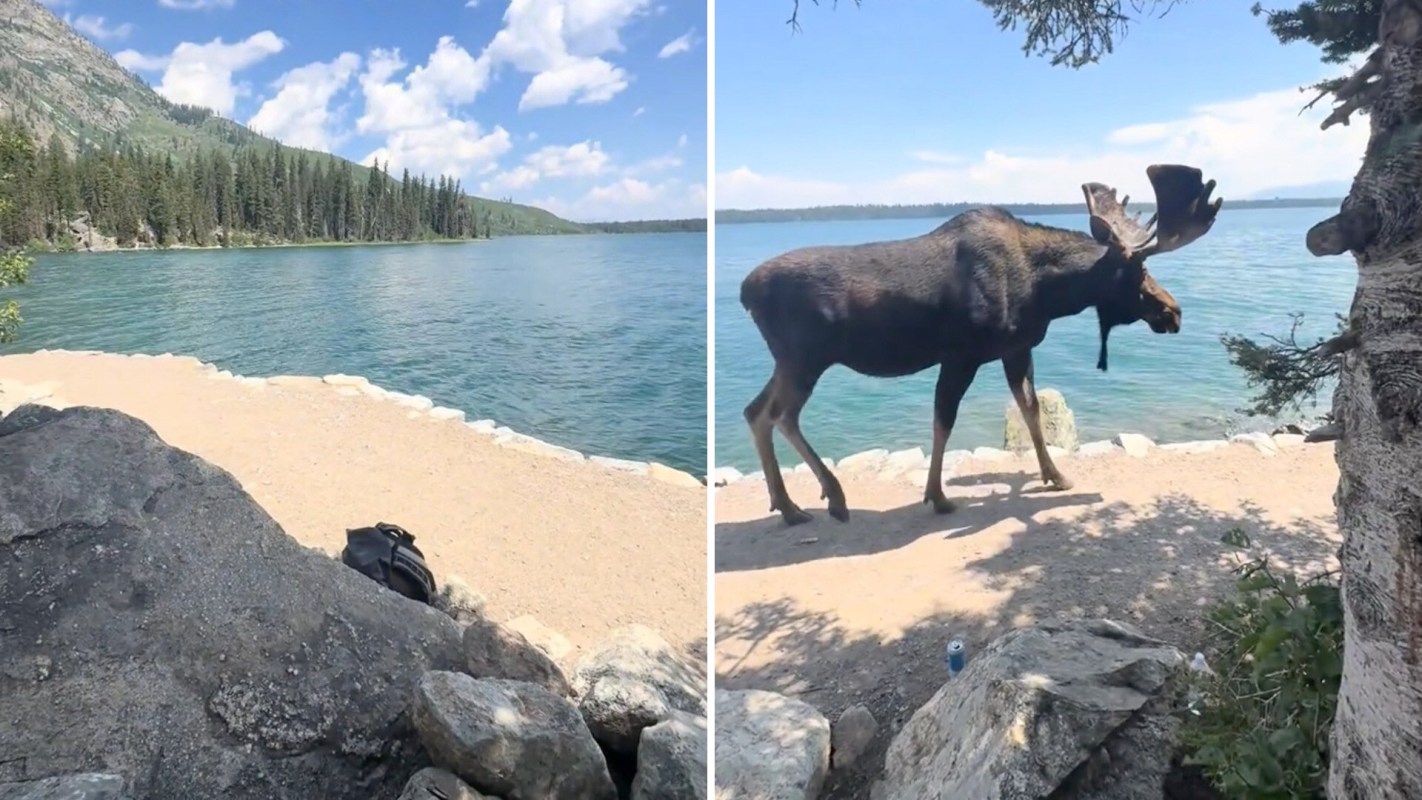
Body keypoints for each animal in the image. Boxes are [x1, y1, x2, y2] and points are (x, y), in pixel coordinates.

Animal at [738, 164, 1224, 527]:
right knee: (781, 415)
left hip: (789, 361)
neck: (1048, 293)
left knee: (756, 411)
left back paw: (790, 505)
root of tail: (746, 291)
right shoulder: (962, 354)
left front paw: (1055, 475)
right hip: (805, 358)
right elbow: (943, 422)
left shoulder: (1017, 348)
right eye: (1139, 273)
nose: (1174, 312)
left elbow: (1031, 410)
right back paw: (832, 497)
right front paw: (937, 496)